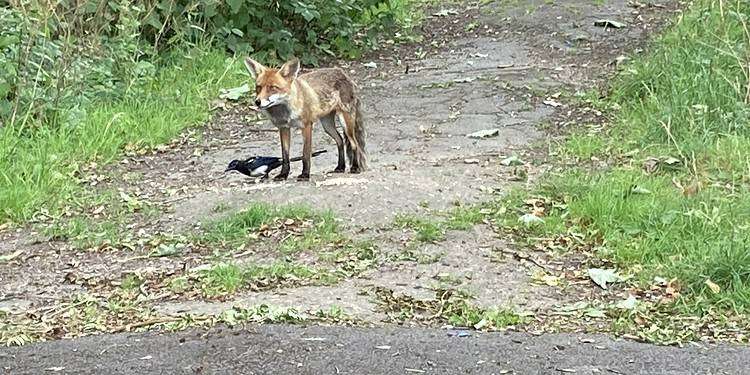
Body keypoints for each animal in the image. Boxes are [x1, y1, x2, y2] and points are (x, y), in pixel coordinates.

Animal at [244, 56, 368, 184]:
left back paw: (355, 167)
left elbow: (305, 154)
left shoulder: (307, 126)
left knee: (355, 144)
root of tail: (342, 72)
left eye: (273, 88)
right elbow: (285, 156)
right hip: (327, 126)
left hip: (346, 123)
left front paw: (305, 174)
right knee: (340, 140)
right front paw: (283, 174)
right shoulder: (283, 128)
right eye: (258, 87)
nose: (257, 102)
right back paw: (340, 167)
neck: (285, 111)